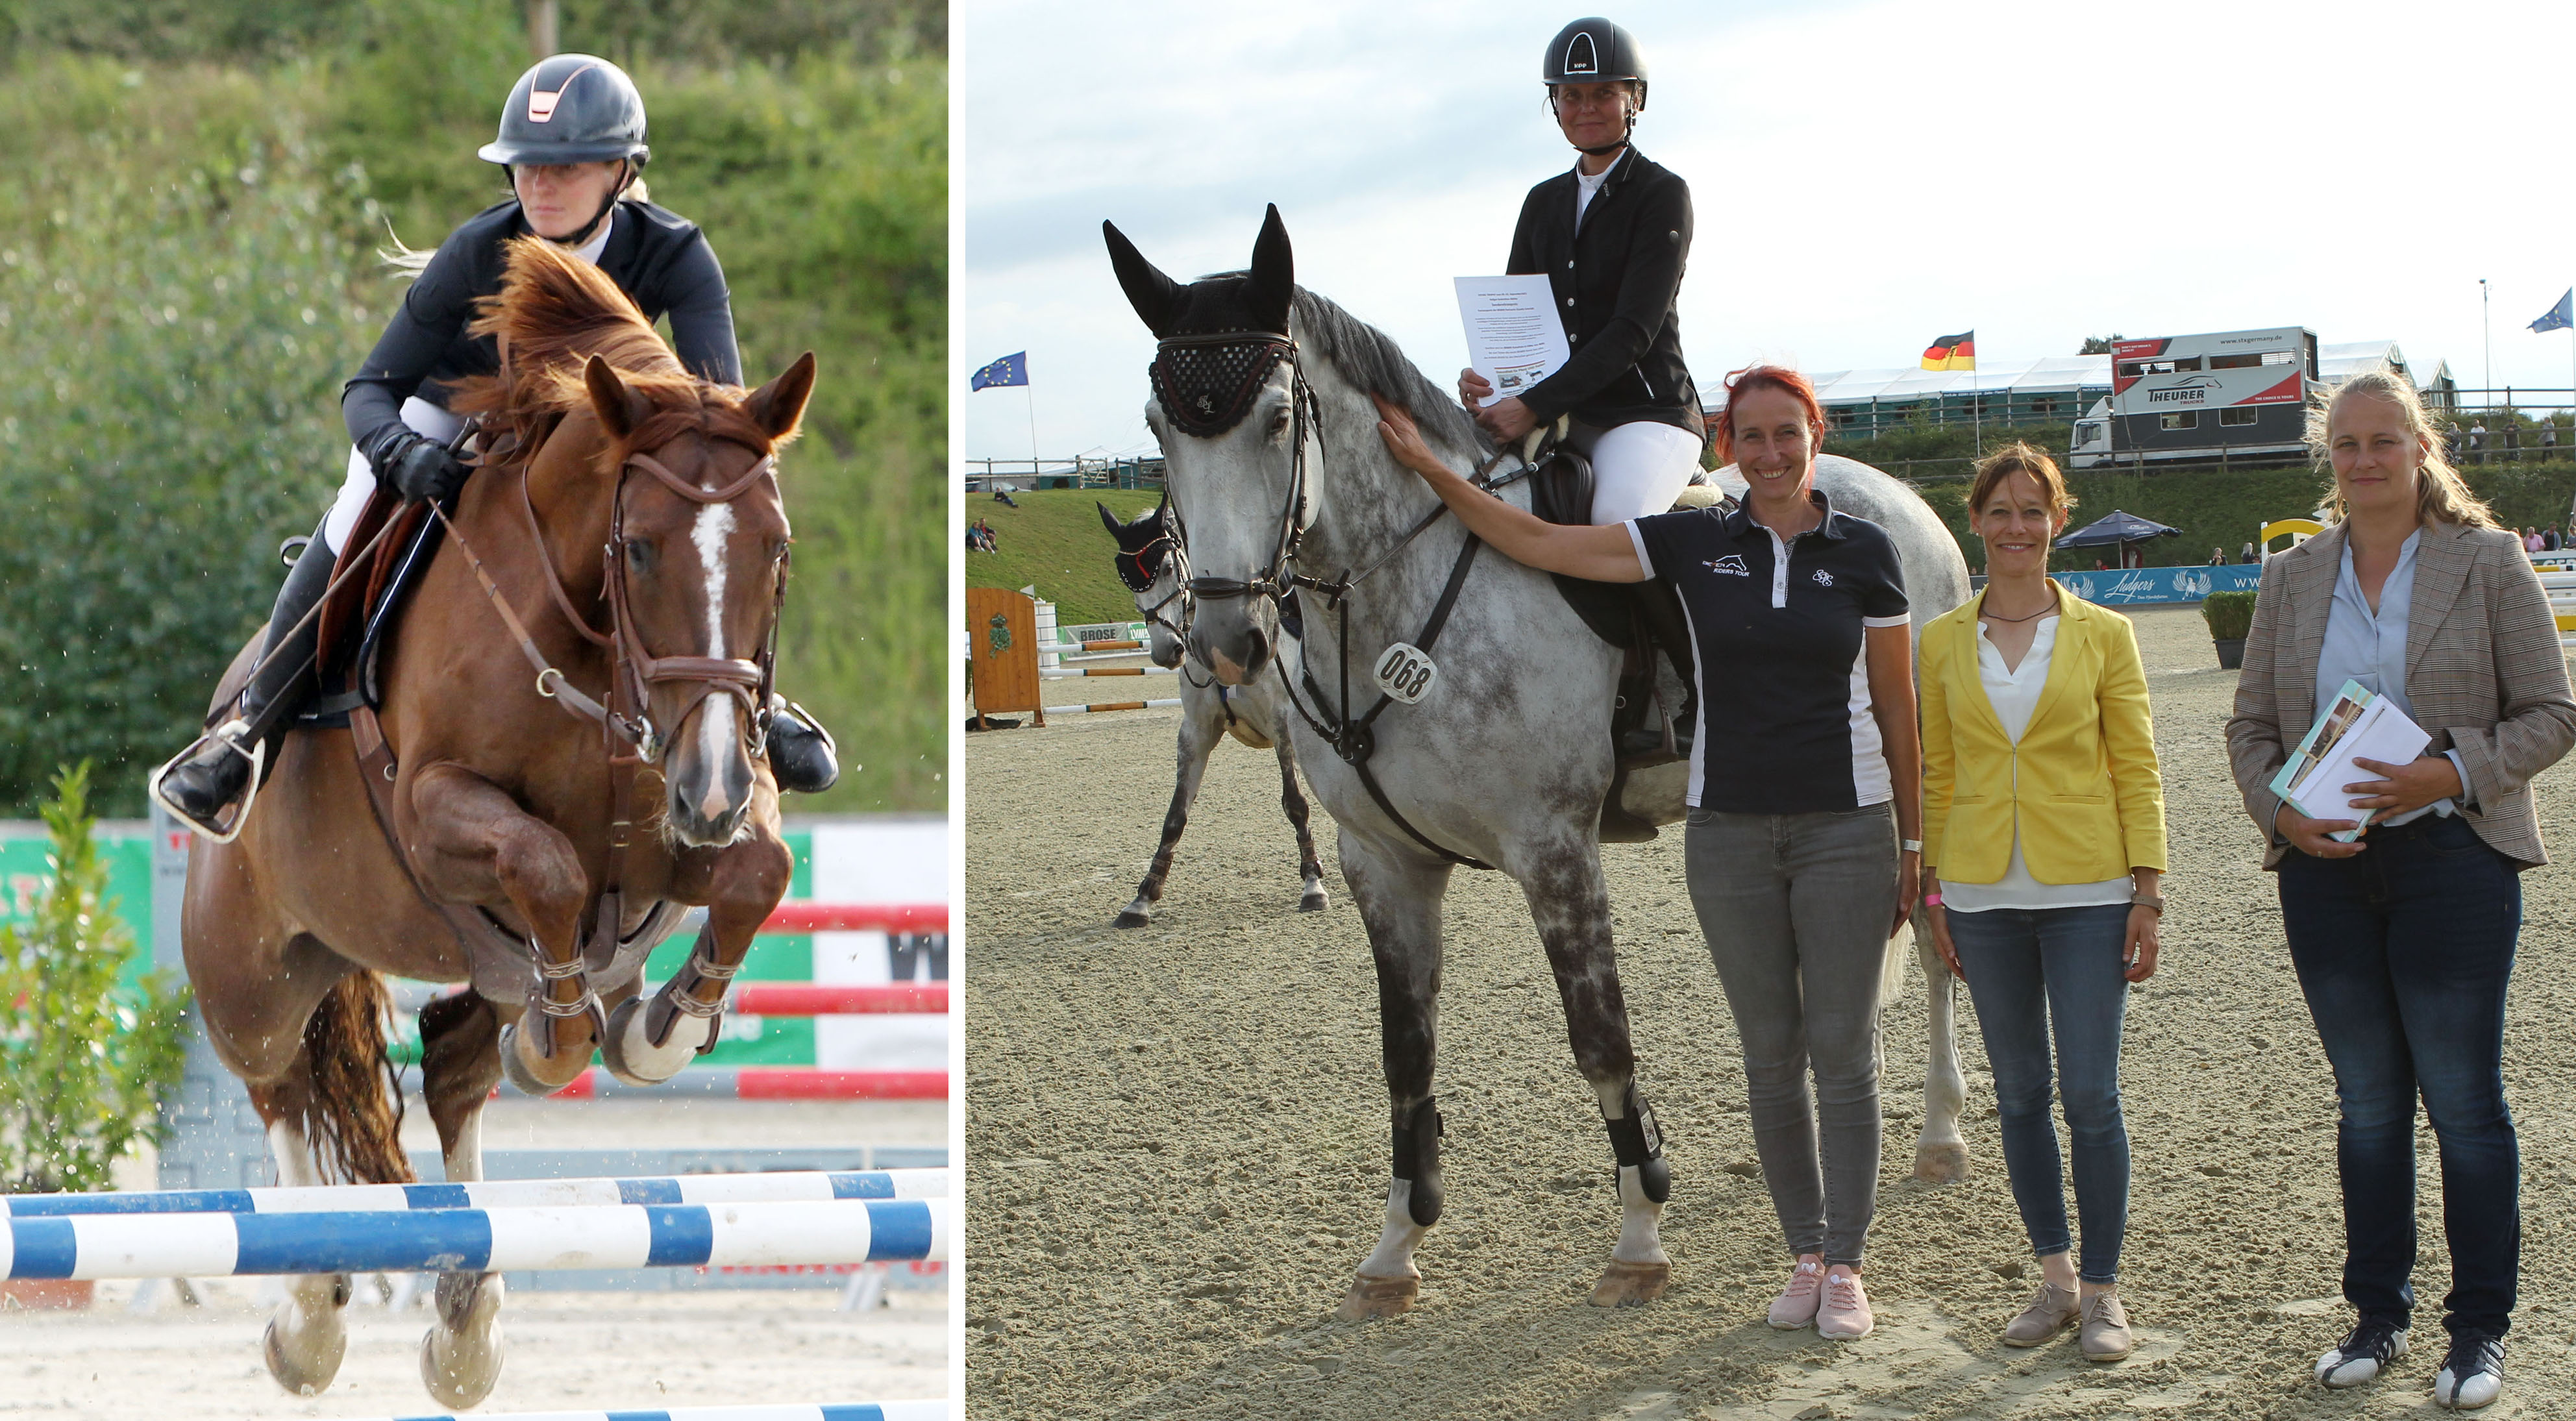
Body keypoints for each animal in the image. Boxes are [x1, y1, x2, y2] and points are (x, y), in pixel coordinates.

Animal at [181, 238, 813, 1400]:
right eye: (639, 547)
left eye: (776, 549)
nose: (706, 787)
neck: (591, 649)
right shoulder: (438, 814)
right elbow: (548, 864)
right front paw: (563, 1034)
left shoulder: (686, 835)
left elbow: (760, 873)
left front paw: (659, 1025)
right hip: (252, 971)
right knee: (282, 1086)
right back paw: (311, 1314)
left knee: (453, 1068)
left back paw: (468, 1324)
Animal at [1092, 502, 1329, 932]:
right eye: (1128, 581)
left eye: (1168, 567)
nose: (1166, 651)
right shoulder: (1197, 732)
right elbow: (1176, 814)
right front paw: (1142, 898)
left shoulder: (1282, 726)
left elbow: (1295, 802)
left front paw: (1313, 884)